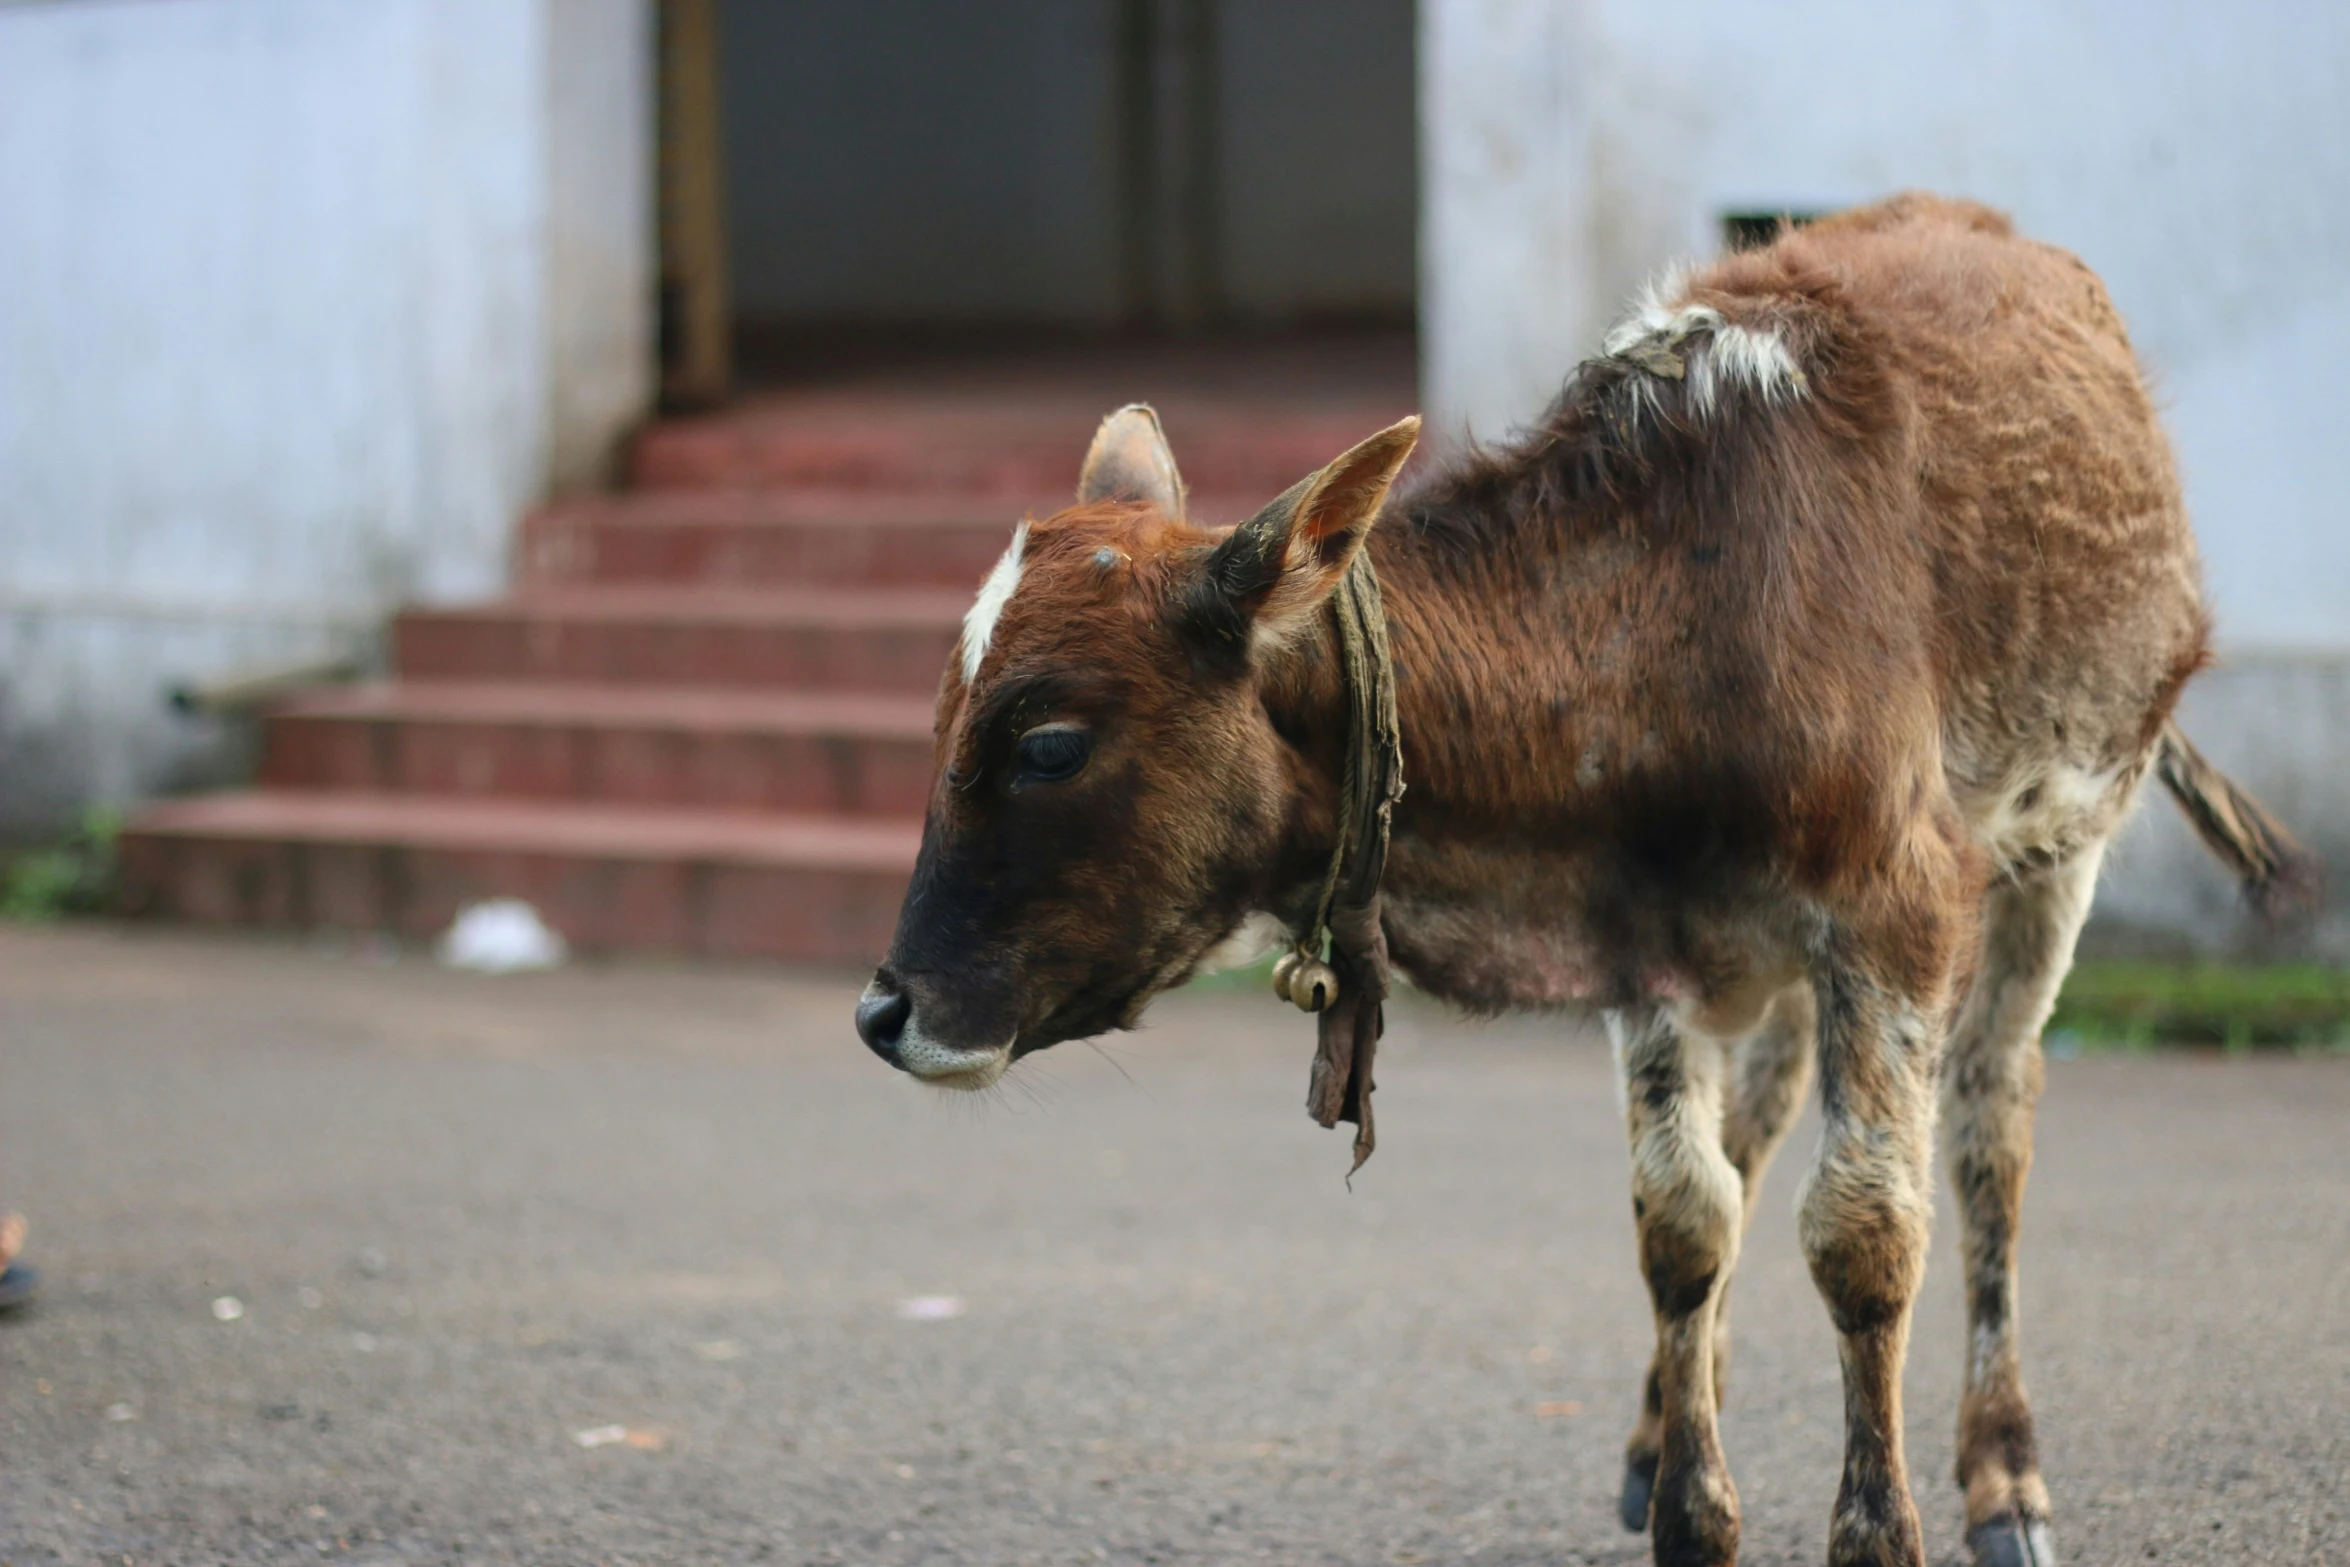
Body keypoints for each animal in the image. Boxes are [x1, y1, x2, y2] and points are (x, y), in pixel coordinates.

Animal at [850, 196, 2312, 1567]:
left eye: (1046, 743)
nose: (885, 1009)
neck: (1675, 612)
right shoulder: (1644, 942)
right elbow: (1682, 1220)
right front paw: (1689, 1505)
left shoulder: (1896, 910)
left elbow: (1863, 1232)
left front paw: (1874, 1524)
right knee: (1758, 1121)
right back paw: (1660, 1424)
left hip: (2063, 840)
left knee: (1989, 1128)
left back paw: (2002, 1474)